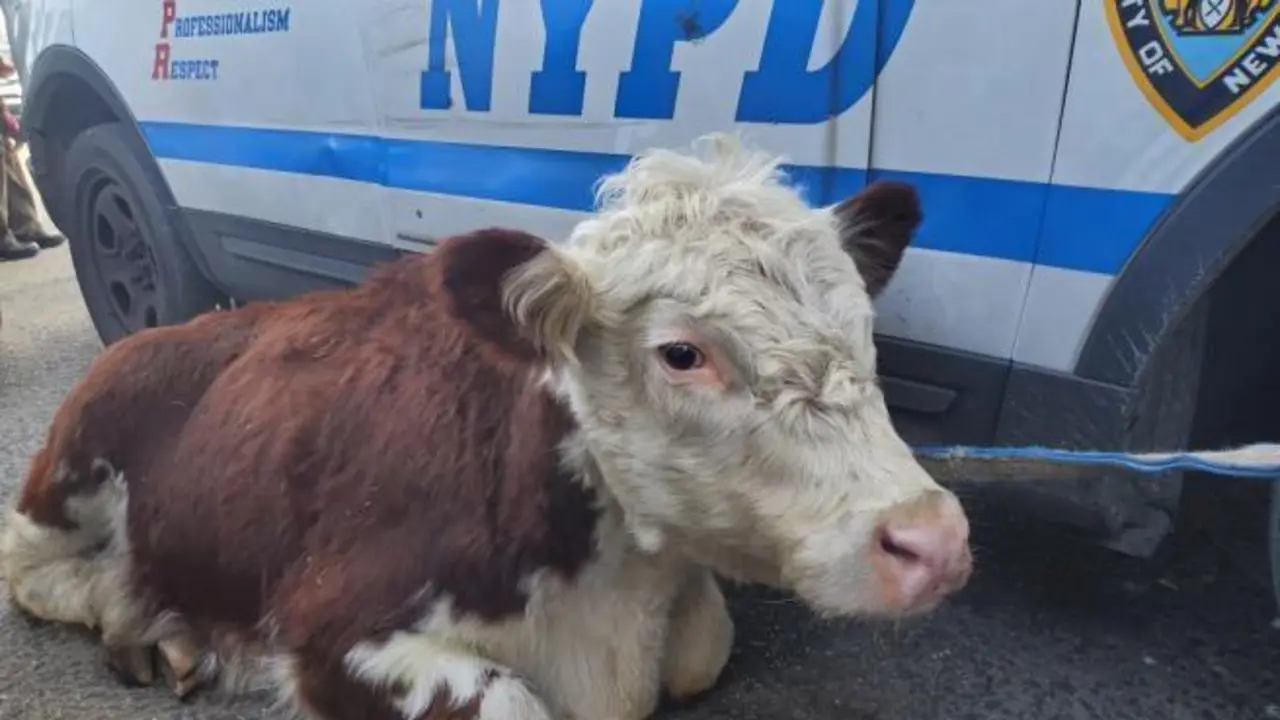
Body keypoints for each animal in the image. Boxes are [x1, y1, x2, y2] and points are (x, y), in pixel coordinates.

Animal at [0, 134, 971, 720]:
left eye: (862, 325)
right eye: (681, 353)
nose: (932, 539)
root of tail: (182, 327)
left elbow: (705, 645)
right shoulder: (327, 623)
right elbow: (508, 701)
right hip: (67, 474)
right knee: (38, 572)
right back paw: (146, 624)